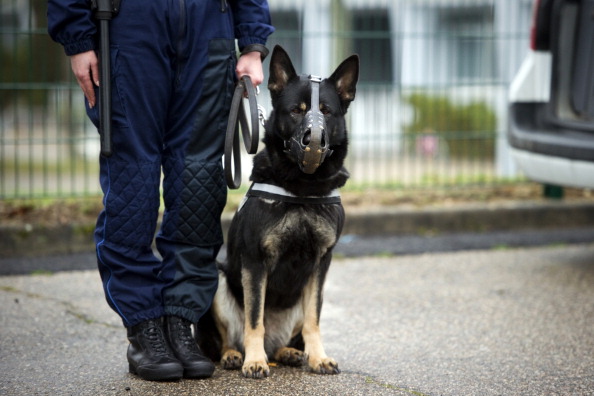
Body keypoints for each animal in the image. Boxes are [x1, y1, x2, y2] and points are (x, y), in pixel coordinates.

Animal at [197, 44, 358, 378]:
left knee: (292, 334)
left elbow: (313, 320)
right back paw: (235, 355)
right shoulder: (255, 262)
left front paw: (318, 357)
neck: (302, 189)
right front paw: (254, 361)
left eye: (326, 111)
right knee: (226, 337)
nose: (313, 139)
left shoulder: (320, 264)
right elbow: (254, 319)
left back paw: (290, 353)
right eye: (296, 110)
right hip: (218, 282)